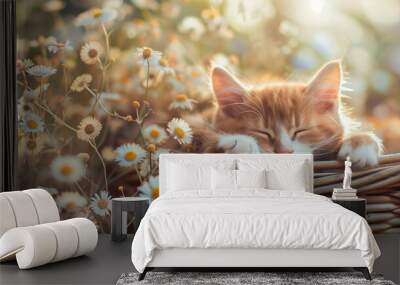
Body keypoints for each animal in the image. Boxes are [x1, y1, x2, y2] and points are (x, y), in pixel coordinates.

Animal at [191, 60, 382, 166]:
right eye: (262, 132)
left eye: (301, 131)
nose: (284, 151)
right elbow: (197, 131)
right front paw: (240, 142)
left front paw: (361, 144)